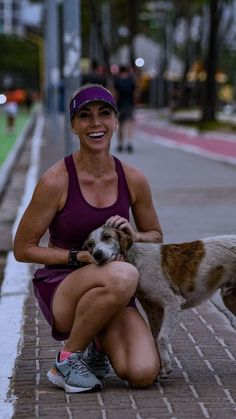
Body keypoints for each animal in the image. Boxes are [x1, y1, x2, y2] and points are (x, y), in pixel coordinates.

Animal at [82, 228, 236, 378]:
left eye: (107, 237)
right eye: (90, 245)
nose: (97, 254)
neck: (135, 260)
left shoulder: (172, 303)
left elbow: (161, 338)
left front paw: (166, 366)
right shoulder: (153, 310)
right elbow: (155, 336)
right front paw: (162, 367)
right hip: (229, 299)